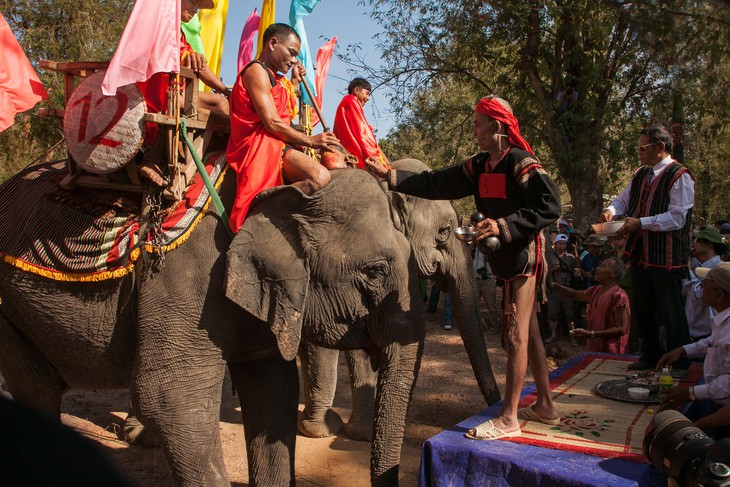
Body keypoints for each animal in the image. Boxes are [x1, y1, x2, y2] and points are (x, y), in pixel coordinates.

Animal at [0, 166, 424, 486]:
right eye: (375, 271)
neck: (285, 191)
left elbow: (273, 391)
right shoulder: (188, 278)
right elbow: (170, 397)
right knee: (36, 388)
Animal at [296, 160, 500, 442]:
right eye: (445, 232)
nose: (492, 410)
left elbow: (360, 345)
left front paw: (362, 433)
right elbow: (319, 341)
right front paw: (321, 431)